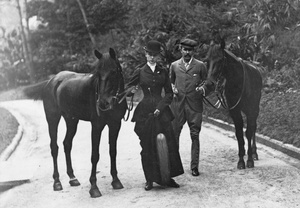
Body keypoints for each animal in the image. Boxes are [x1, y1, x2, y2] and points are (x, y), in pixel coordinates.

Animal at [23, 48, 126, 197]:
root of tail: (52, 80)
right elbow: (95, 155)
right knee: (54, 147)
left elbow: (113, 151)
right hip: (53, 119)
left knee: (67, 144)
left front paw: (116, 181)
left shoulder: (115, 124)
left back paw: (72, 178)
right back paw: (57, 182)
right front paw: (94, 187)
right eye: (98, 73)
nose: (102, 103)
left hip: (71, 120)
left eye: (113, 71)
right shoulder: (97, 126)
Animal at [204, 39, 262, 169]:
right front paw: (241, 160)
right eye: (207, 60)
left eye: (220, 60)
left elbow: (248, 132)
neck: (237, 81)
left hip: (255, 109)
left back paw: (254, 152)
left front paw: (249, 160)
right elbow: (239, 134)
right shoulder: (234, 111)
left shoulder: (251, 110)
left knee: (253, 127)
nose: (209, 84)